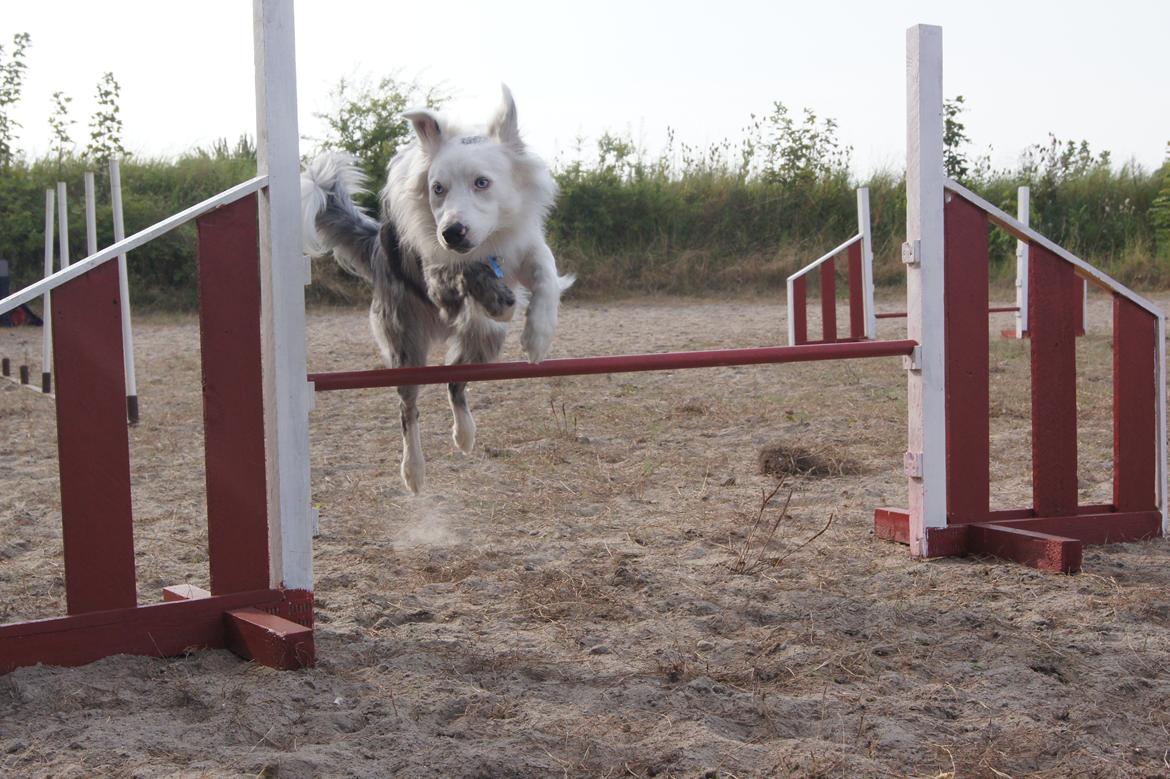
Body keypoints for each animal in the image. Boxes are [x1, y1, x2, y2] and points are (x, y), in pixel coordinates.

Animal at [304, 86, 573, 491]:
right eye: (437, 189)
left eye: (482, 182)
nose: (452, 232)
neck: (485, 246)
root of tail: (378, 244)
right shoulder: (438, 277)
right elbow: (462, 273)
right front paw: (497, 297)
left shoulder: (524, 248)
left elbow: (544, 274)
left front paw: (537, 337)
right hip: (405, 344)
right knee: (408, 409)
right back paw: (413, 471)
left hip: (484, 340)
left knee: (452, 380)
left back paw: (465, 436)